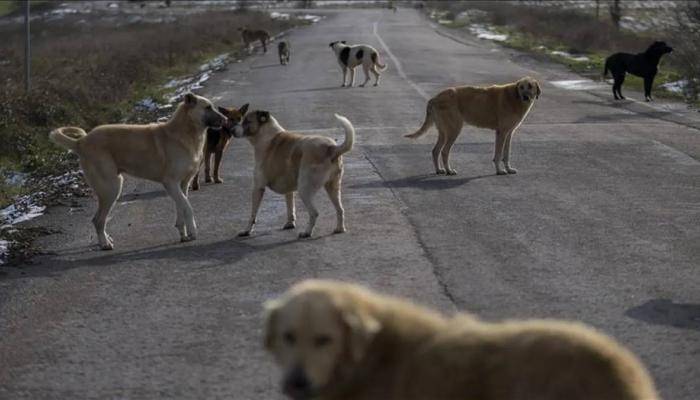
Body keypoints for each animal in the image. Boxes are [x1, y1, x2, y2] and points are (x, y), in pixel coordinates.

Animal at [50, 94, 226, 250]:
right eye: (208, 107)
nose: (225, 119)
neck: (185, 131)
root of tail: (81, 142)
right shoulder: (170, 183)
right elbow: (187, 207)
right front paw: (193, 231)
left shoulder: (182, 185)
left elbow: (181, 208)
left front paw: (184, 234)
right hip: (111, 188)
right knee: (97, 220)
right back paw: (105, 244)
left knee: (99, 219)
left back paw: (106, 240)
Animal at [232, 110, 356, 238]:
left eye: (247, 121)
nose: (231, 130)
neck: (266, 135)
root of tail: (331, 147)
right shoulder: (289, 189)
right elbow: (290, 207)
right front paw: (290, 223)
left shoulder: (257, 188)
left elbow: (253, 214)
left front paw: (246, 230)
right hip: (333, 188)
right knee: (340, 209)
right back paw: (339, 229)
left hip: (304, 190)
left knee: (314, 213)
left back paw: (307, 232)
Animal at [404, 77, 540, 176]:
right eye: (521, 87)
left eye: (530, 86)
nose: (525, 97)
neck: (514, 97)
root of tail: (434, 98)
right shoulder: (501, 133)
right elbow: (498, 154)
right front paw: (499, 171)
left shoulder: (508, 133)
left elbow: (506, 154)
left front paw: (508, 169)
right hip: (454, 130)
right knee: (444, 151)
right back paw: (449, 170)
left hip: (443, 132)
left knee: (435, 151)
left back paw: (439, 170)